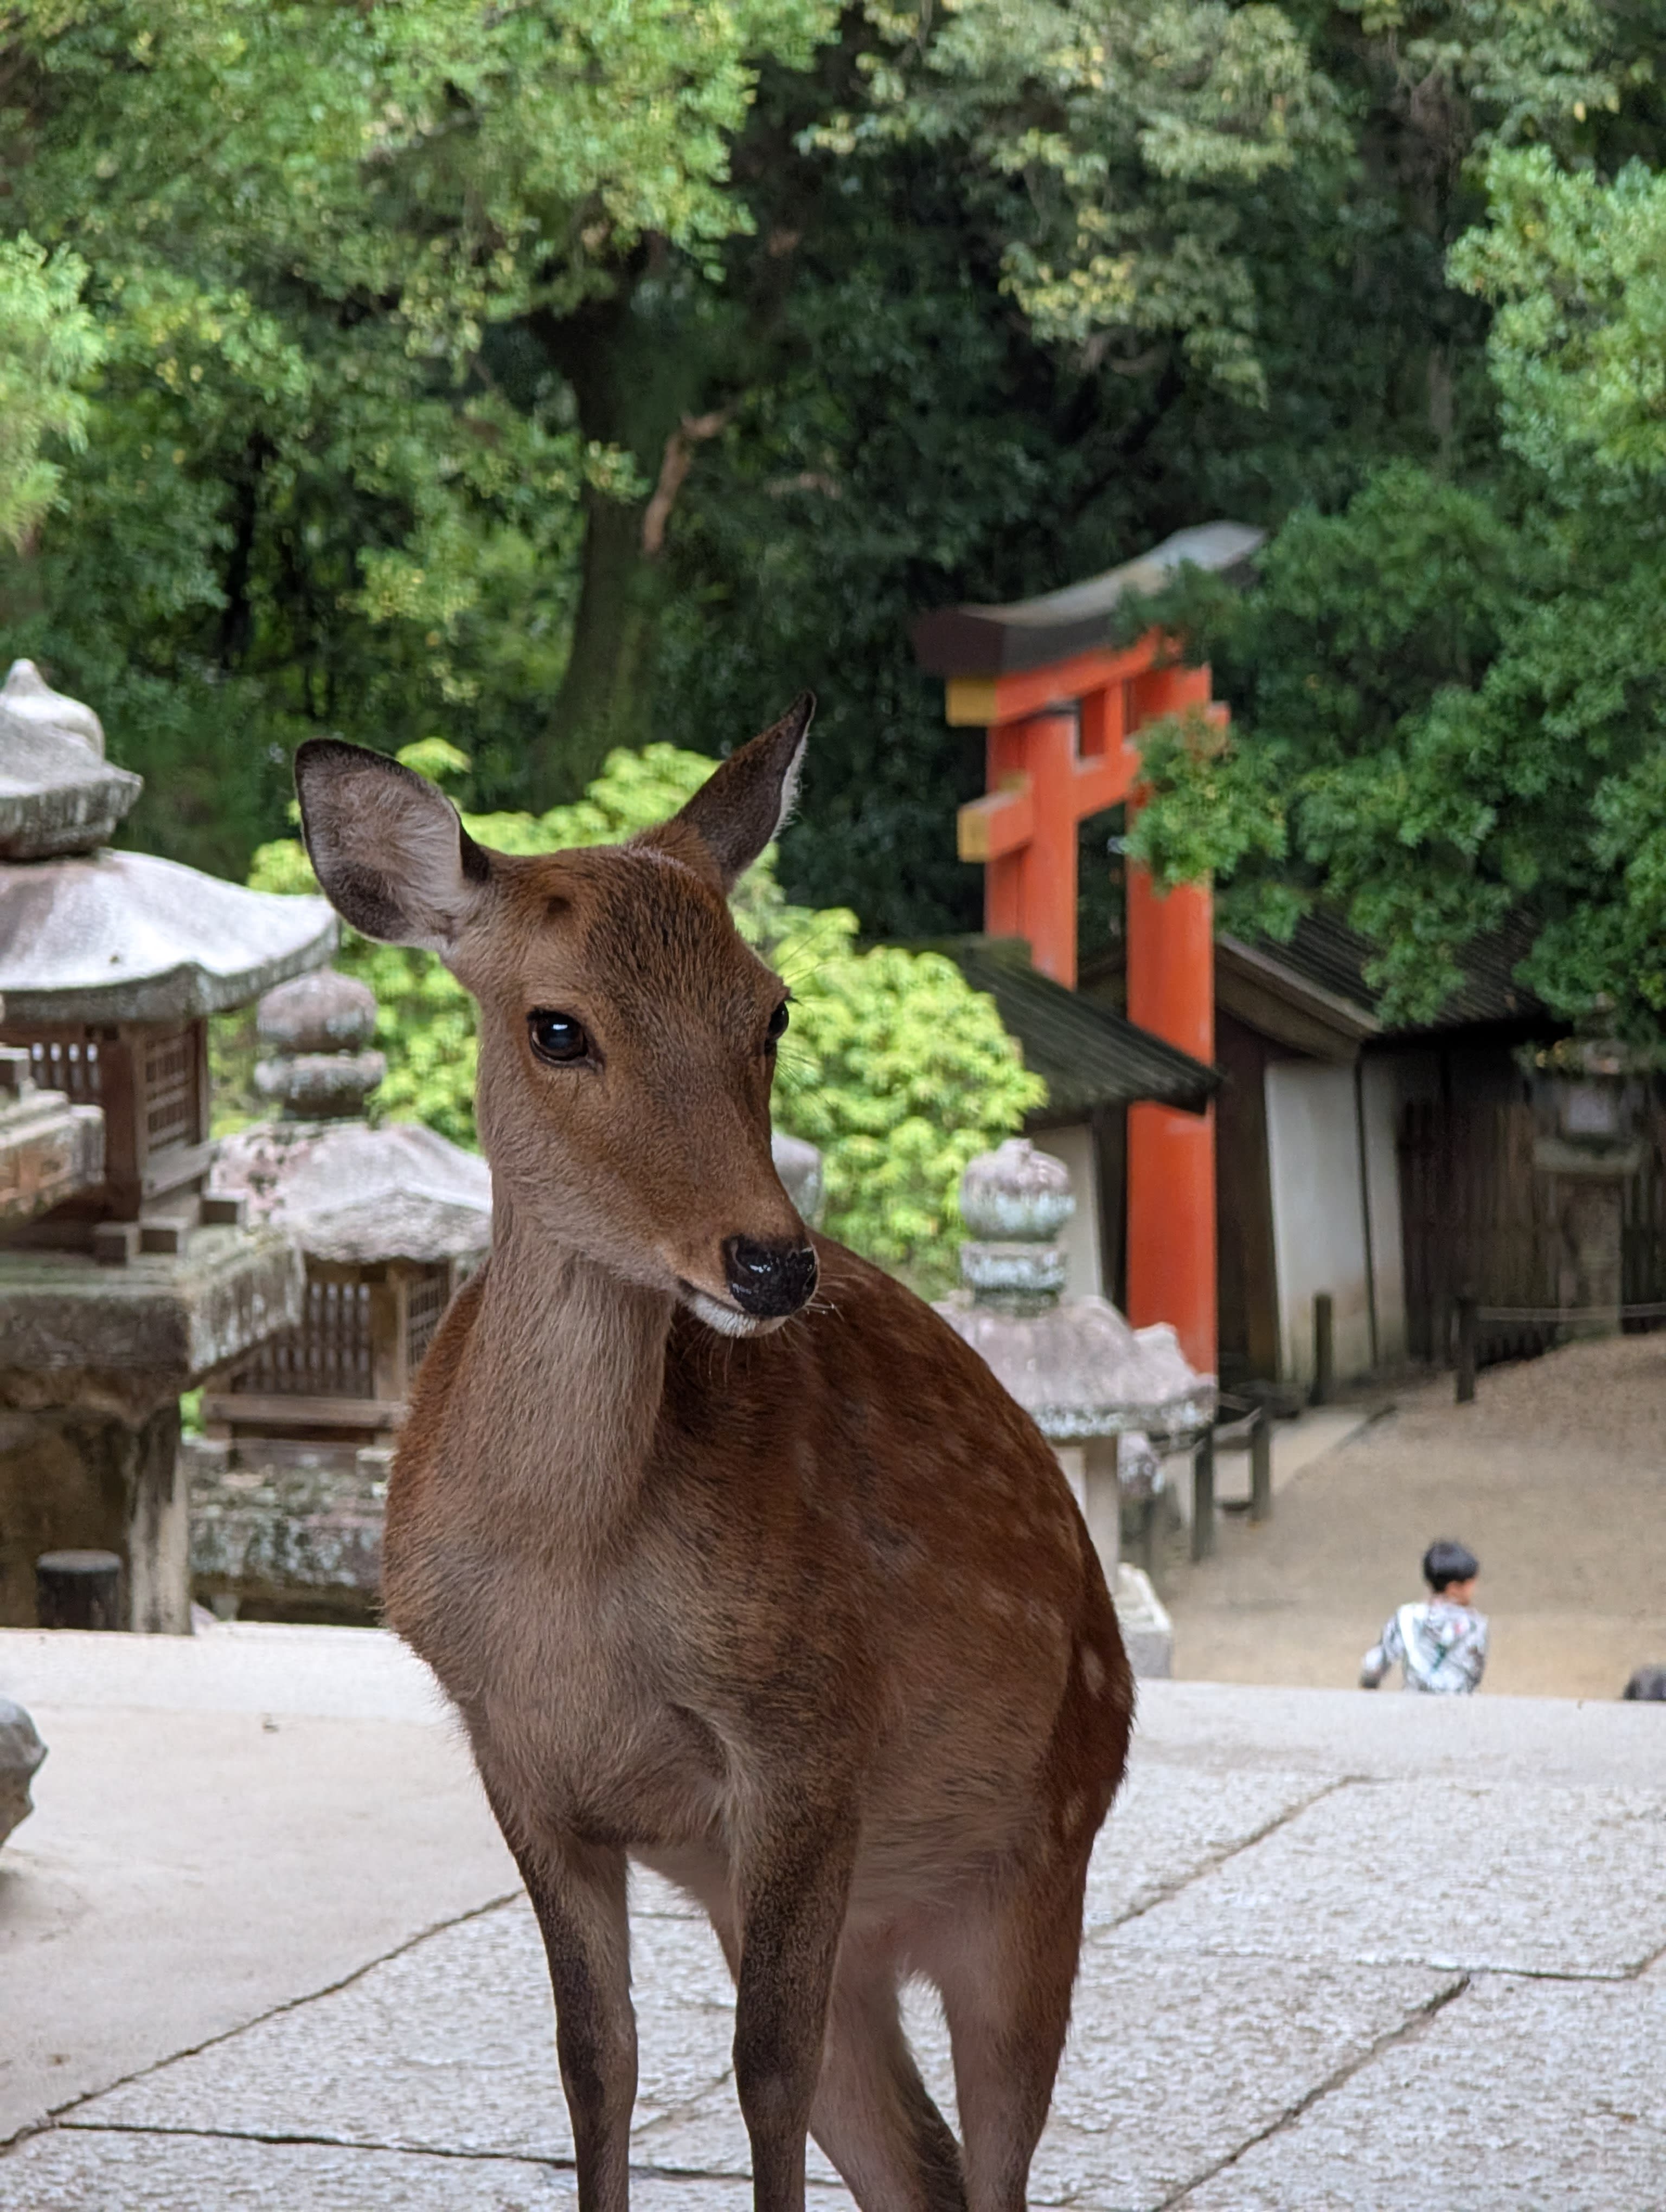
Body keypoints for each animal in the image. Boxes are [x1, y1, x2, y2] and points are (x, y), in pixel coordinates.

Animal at [294, 698, 1133, 2212]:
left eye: (772, 1008)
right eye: (556, 1026)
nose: (771, 1260)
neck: (568, 1584)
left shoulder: (808, 1721)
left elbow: (762, 2070)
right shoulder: (515, 1755)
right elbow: (595, 2057)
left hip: (1039, 1858)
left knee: (987, 2152)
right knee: (914, 2154)